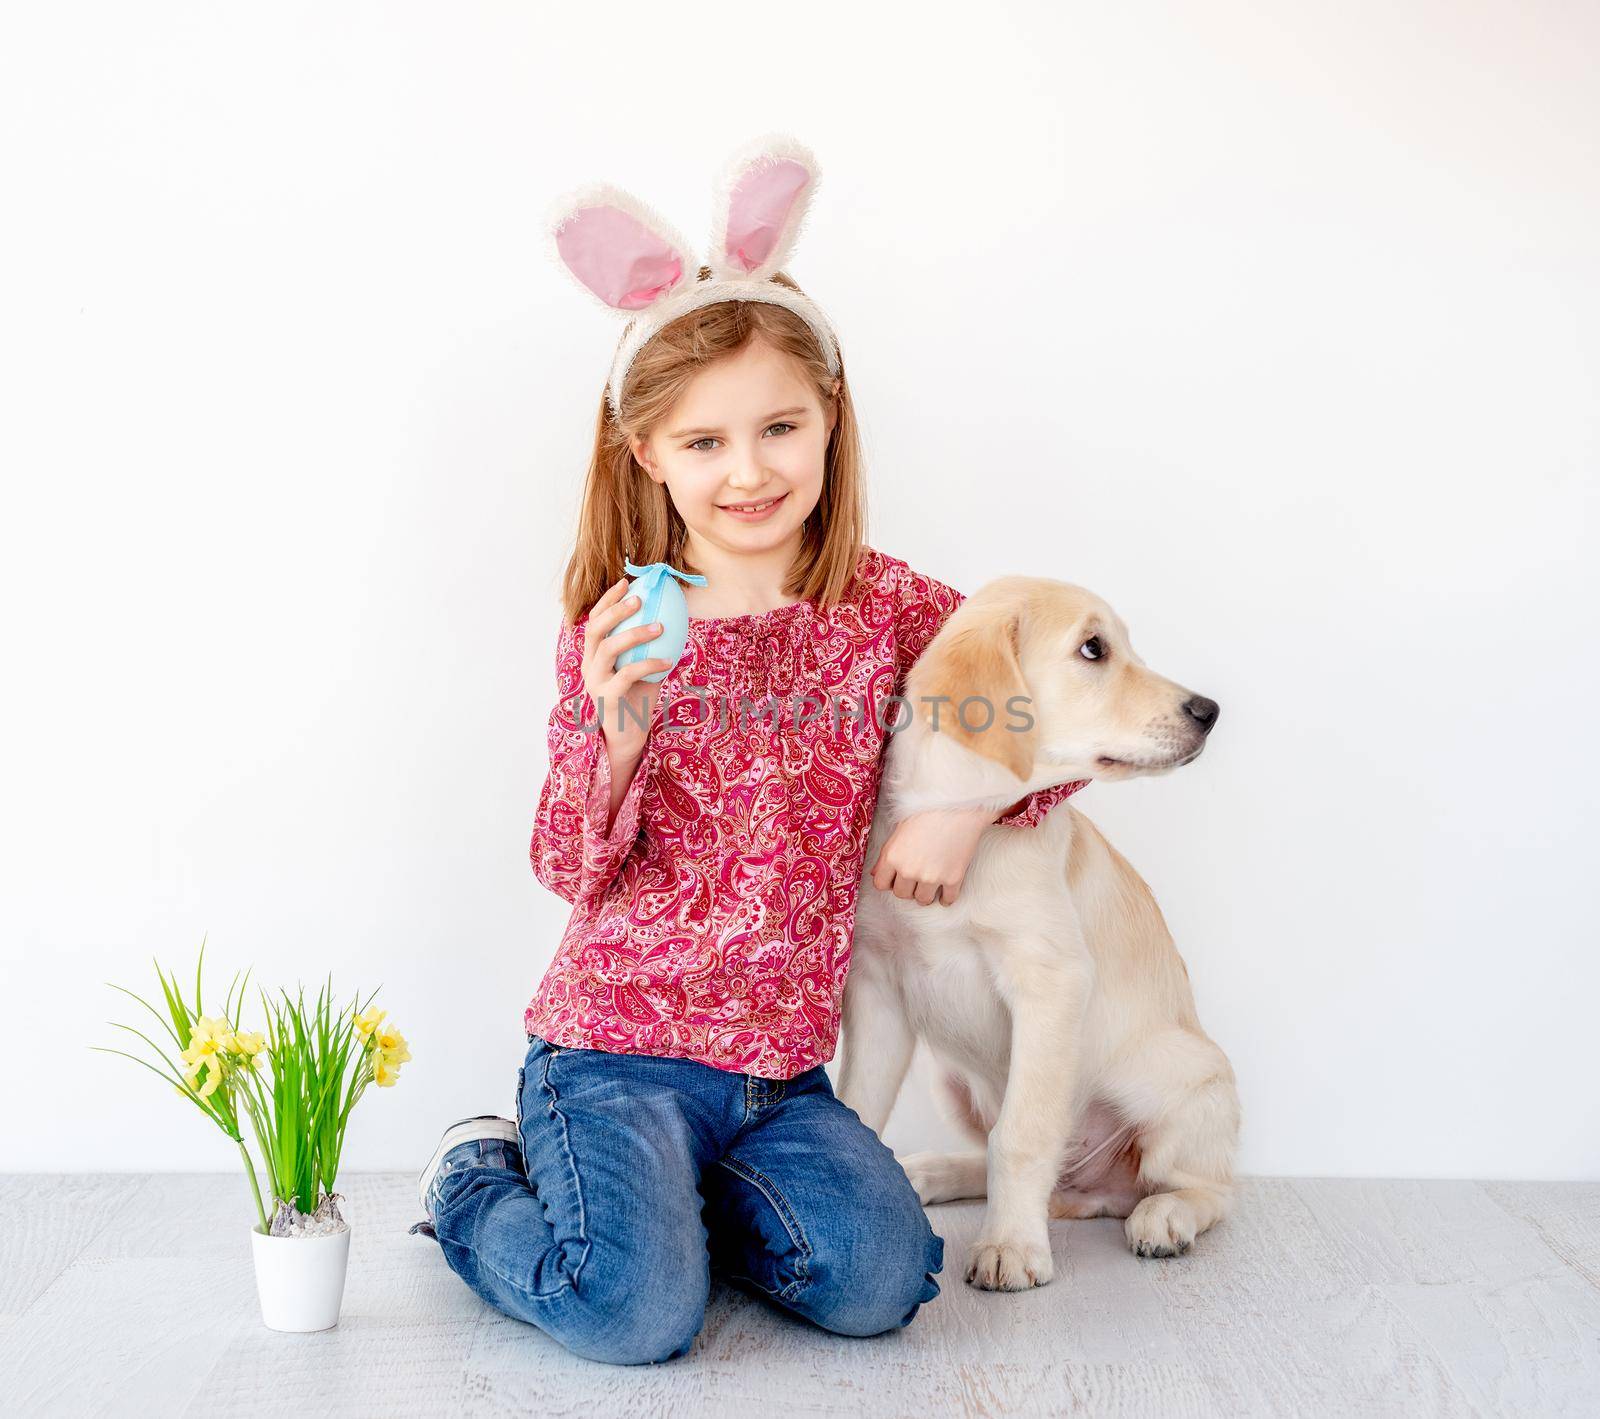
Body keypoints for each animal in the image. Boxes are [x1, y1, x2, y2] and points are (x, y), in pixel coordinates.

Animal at [838, 582, 1235, 1292]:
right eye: (1093, 649)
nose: (1209, 711)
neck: (954, 821)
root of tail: (1090, 1190)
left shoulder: (1049, 983)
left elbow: (1021, 1136)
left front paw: (1011, 1247)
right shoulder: (879, 988)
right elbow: (861, 1106)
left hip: (1184, 1086)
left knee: (1206, 1188)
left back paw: (1165, 1217)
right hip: (951, 1082)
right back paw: (932, 1169)